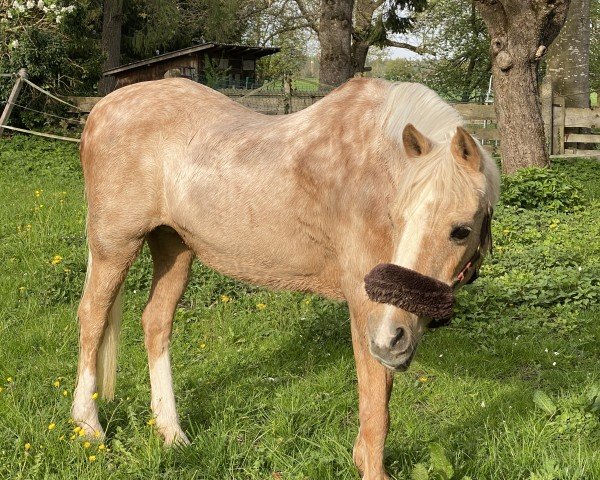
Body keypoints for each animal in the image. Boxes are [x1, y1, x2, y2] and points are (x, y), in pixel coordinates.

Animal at [72, 77, 500, 478]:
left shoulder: (383, 317)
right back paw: (88, 426)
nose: (394, 339)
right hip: (114, 246)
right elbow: (376, 407)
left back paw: (172, 433)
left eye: (461, 230)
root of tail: (102, 110)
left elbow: (380, 394)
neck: (373, 168)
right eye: (397, 217)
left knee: (156, 323)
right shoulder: (367, 305)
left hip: (173, 247)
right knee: (92, 318)